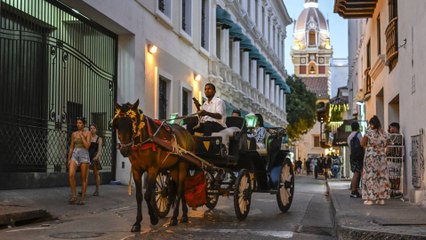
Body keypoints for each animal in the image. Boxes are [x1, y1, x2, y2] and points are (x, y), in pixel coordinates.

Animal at [111, 100, 195, 232]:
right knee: (179, 190)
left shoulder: (153, 169)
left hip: (183, 165)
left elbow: (148, 194)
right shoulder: (136, 170)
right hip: (174, 168)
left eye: (132, 121)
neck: (144, 141)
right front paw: (137, 223)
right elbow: (139, 196)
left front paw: (153, 218)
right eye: (117, 124)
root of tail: (187, 134)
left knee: (180, 190)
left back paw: (175, 217)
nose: (124, 149)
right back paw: (184, 215)